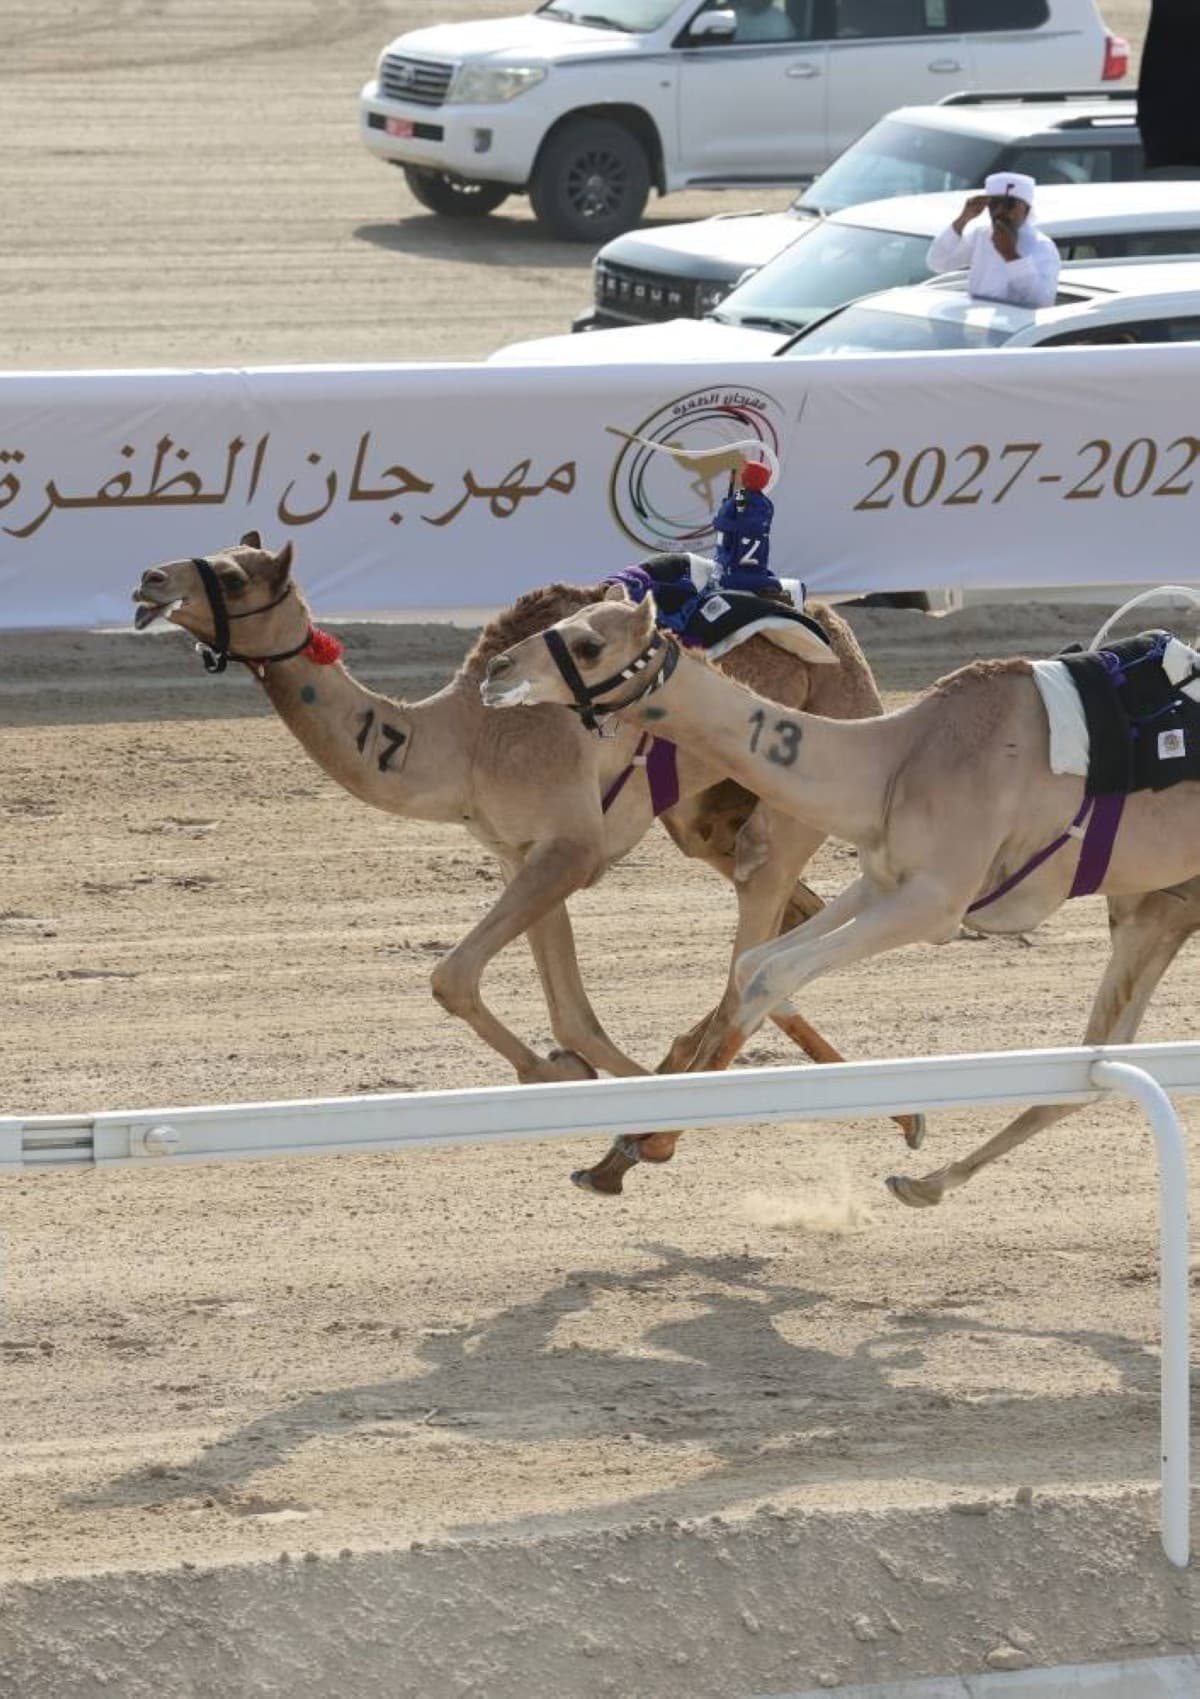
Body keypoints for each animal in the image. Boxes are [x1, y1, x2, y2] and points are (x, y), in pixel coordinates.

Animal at [131, 534, 915, 1193]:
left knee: (768, 898)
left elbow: (453, 977)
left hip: (816, 764)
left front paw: (617, 1109)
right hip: (702, 814)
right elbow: (568, 1016)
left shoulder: (572, 846)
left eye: (234, 575)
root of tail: (833, 626)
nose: (148, 579)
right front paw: (598, 1093)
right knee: (786, 927)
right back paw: (890, 1112)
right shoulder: (519, 853)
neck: (462, 739)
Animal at [480, 584, 1200, 1205]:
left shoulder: (935, 901)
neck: (897, 758)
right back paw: (926, 1183)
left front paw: (648, 1143)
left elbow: (771, 971)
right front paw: (623, 1149)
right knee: (1097, 1060)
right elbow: (755, 965)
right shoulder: (883, 879)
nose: (495, 669)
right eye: (565, 622)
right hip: (1161, 905)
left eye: (588, 643)